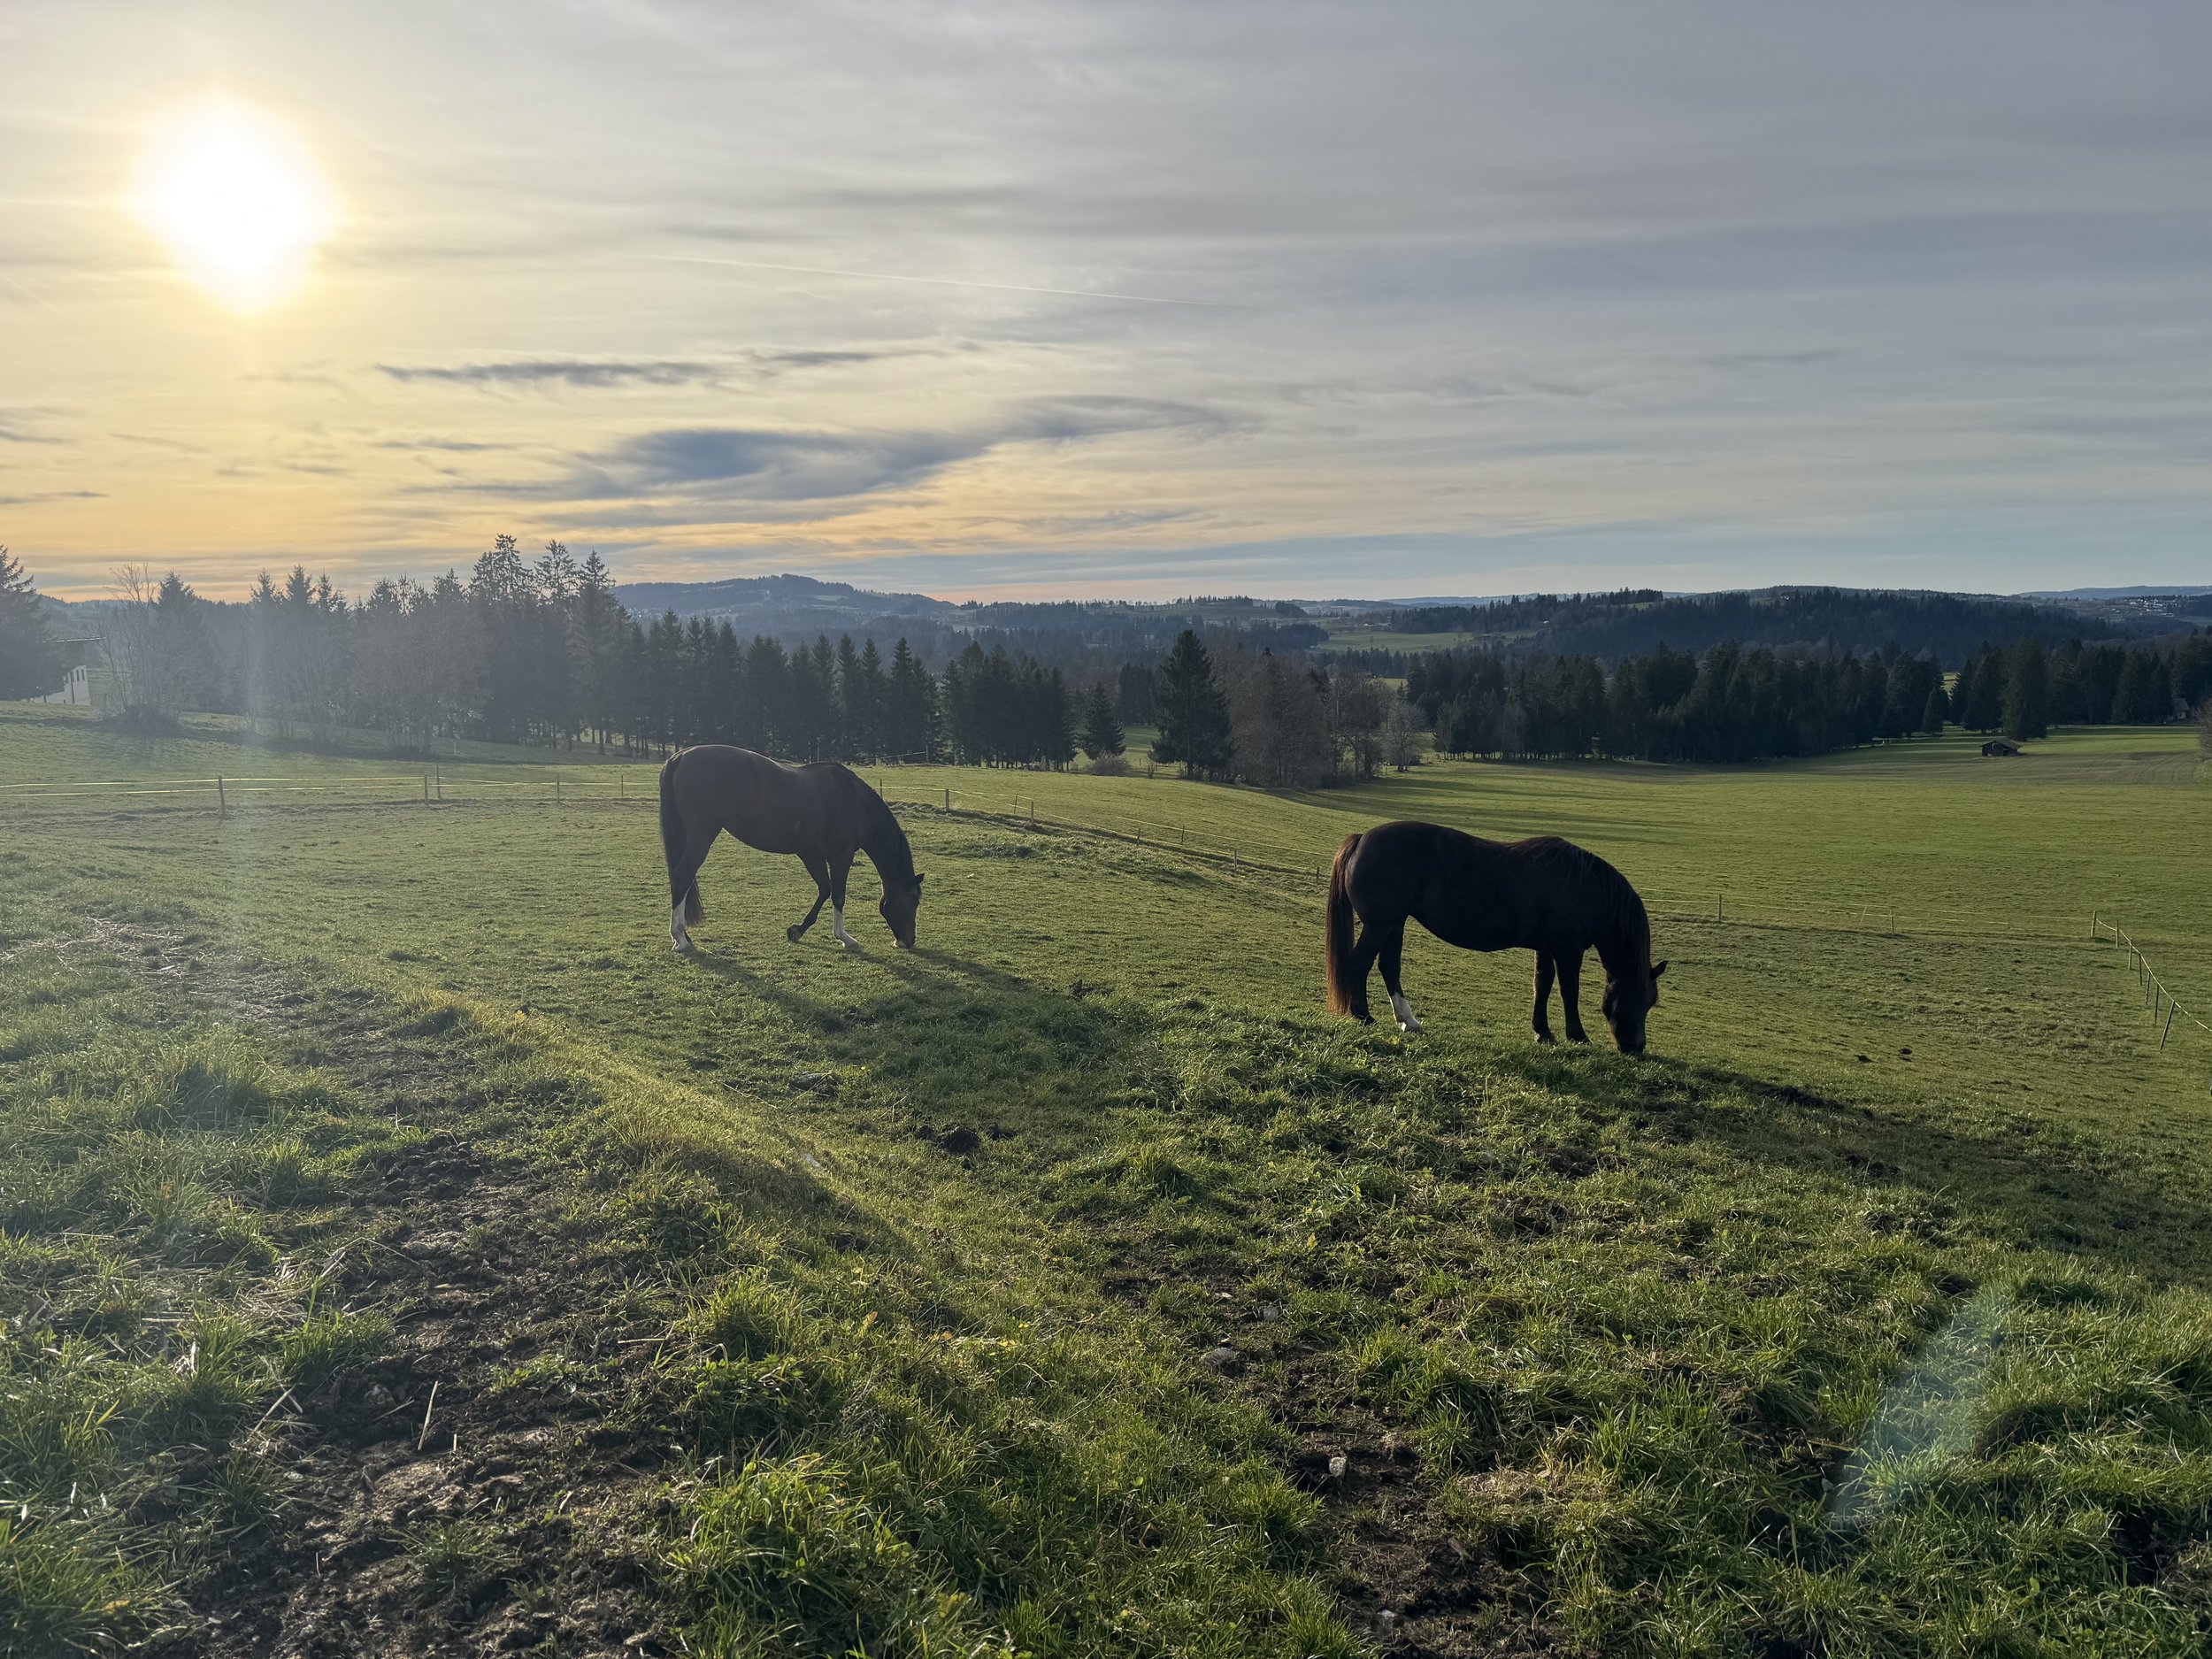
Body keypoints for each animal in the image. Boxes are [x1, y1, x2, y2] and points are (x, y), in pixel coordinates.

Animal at [658, 746, 923, 953]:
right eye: (914, 900)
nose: (908, 941)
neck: (855, 801)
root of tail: (681, 756)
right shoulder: (841, 856)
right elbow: (838, 894)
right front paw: (845, 938)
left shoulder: (810, 854)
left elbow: (824, 889)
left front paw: (797, 930)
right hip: (701, 835)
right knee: (683, 875)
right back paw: (679, 937)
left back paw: (684, 935)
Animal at [1324, 821, 1666, 1052]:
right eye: (1641, 998)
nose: (1636, 1048)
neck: (1585, 886)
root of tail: (1361, 840)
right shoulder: (1568, 950)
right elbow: (1569, 991)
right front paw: (1577, 1036)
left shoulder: (1546, 948)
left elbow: (1542, 986)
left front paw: (1543, 1033)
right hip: (1381, 924)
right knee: (1360, 963)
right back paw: (1363, 1015)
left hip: (1394, 924)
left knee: (1389, 967)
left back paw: (1409, 1021)